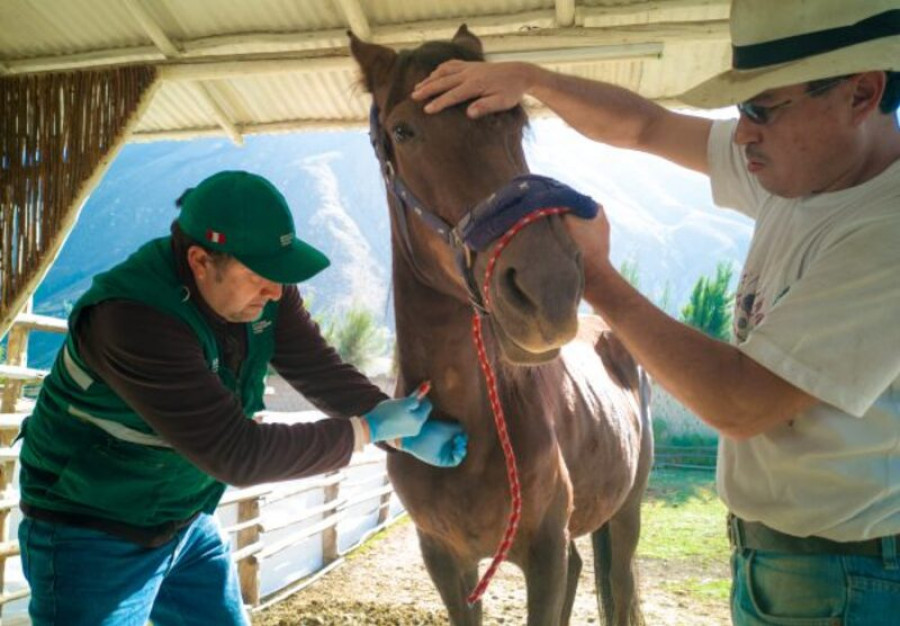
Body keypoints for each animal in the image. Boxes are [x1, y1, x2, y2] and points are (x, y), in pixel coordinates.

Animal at [348, 25, 652, 624]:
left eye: (515, 124)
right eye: (403, 130)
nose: (549, 288)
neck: (476, 418)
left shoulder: (544, 552)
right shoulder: (444, 560)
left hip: (624, 515)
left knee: (618, 583)